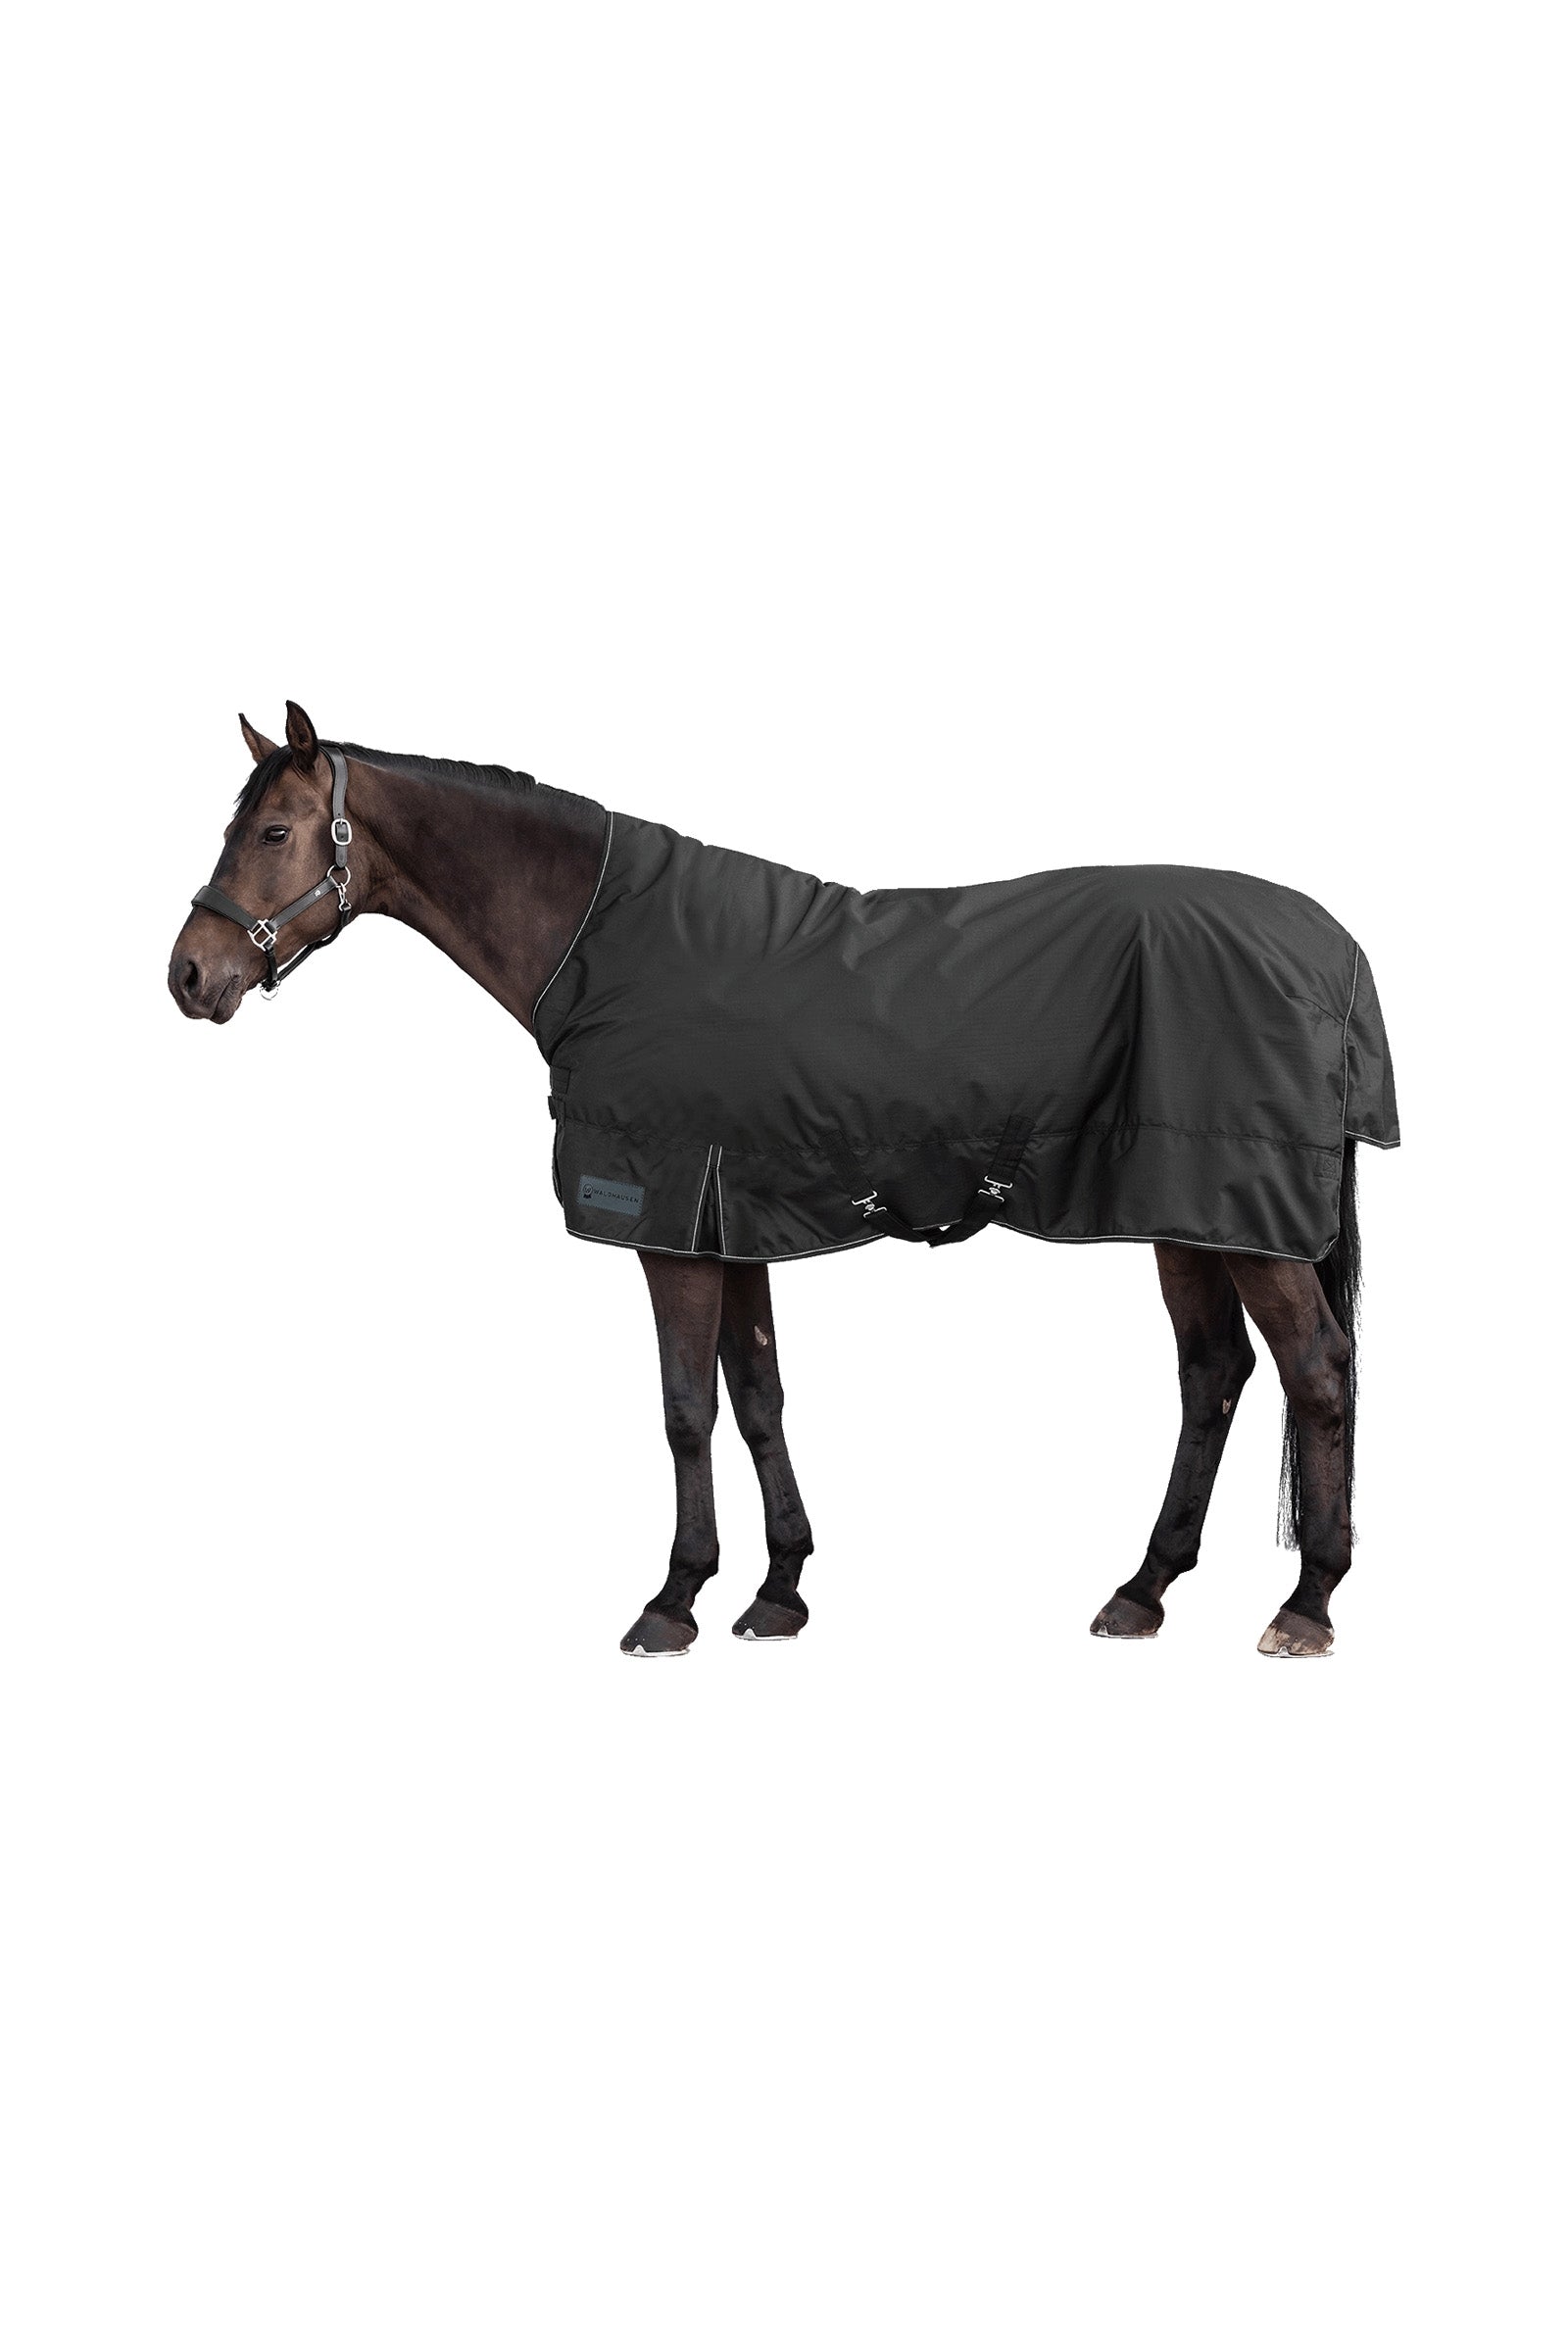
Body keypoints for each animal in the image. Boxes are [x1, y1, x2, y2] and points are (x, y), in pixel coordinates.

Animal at [169, 702, 1397, 1661]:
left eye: (272, 831)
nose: (189, 975)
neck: (604, 946)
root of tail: (1330, 950)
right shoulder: (734, 1219)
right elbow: (756, 1398)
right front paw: (777, 1591)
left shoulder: (669, 1223)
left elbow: (685, 1410)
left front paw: (672, 1601)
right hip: (1187, 1211)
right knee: (1214, 1375)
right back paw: (1141, 1590)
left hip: (1241, 1221)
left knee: (1317, 1374)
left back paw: (1306, 1604)